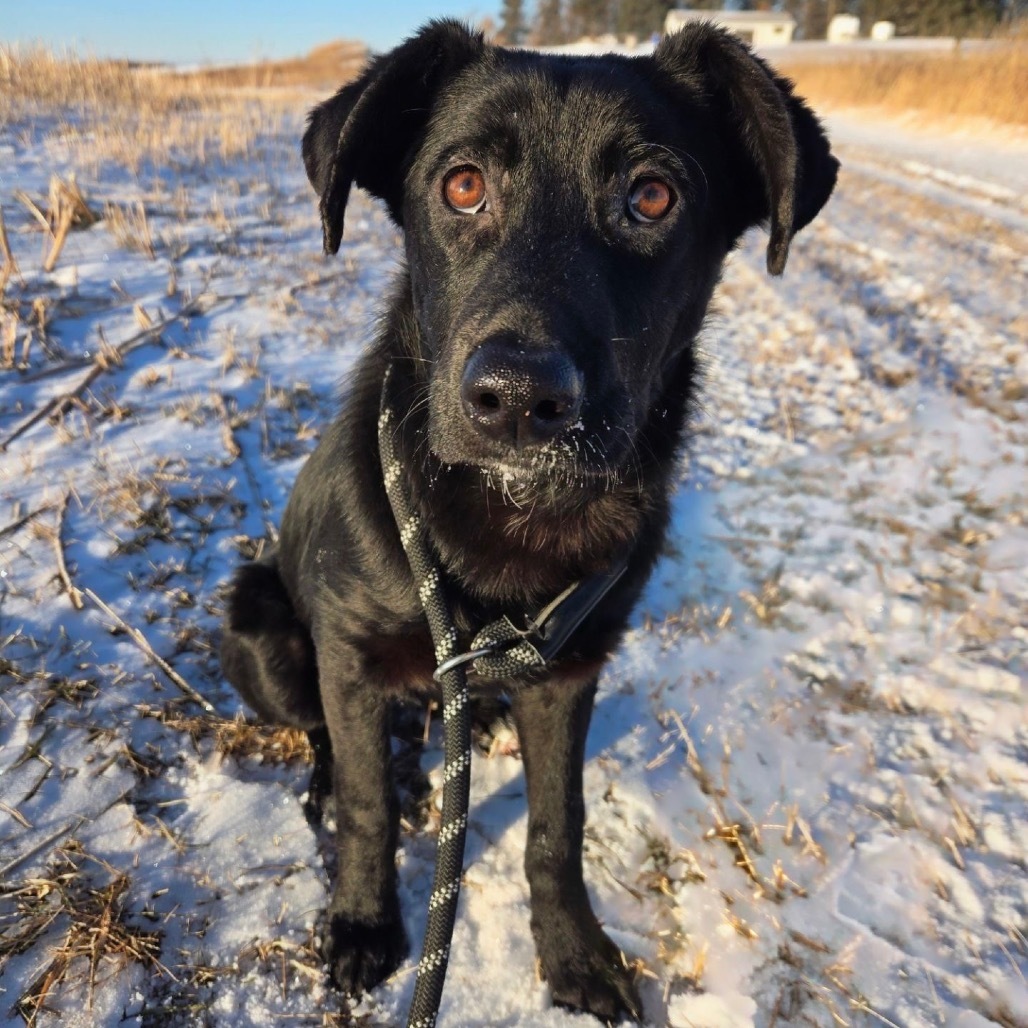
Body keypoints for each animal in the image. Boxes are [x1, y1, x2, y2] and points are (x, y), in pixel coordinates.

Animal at [223, 22, 834, 1019]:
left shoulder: (574, 670)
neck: (512, 518)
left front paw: (575, 951)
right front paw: (361, 922)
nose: (517, 398)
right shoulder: (349, 657)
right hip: (257, 624)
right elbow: (368, 804)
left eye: (651, 196)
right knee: (316, 732)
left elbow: (558, 825)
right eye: (463, 184)